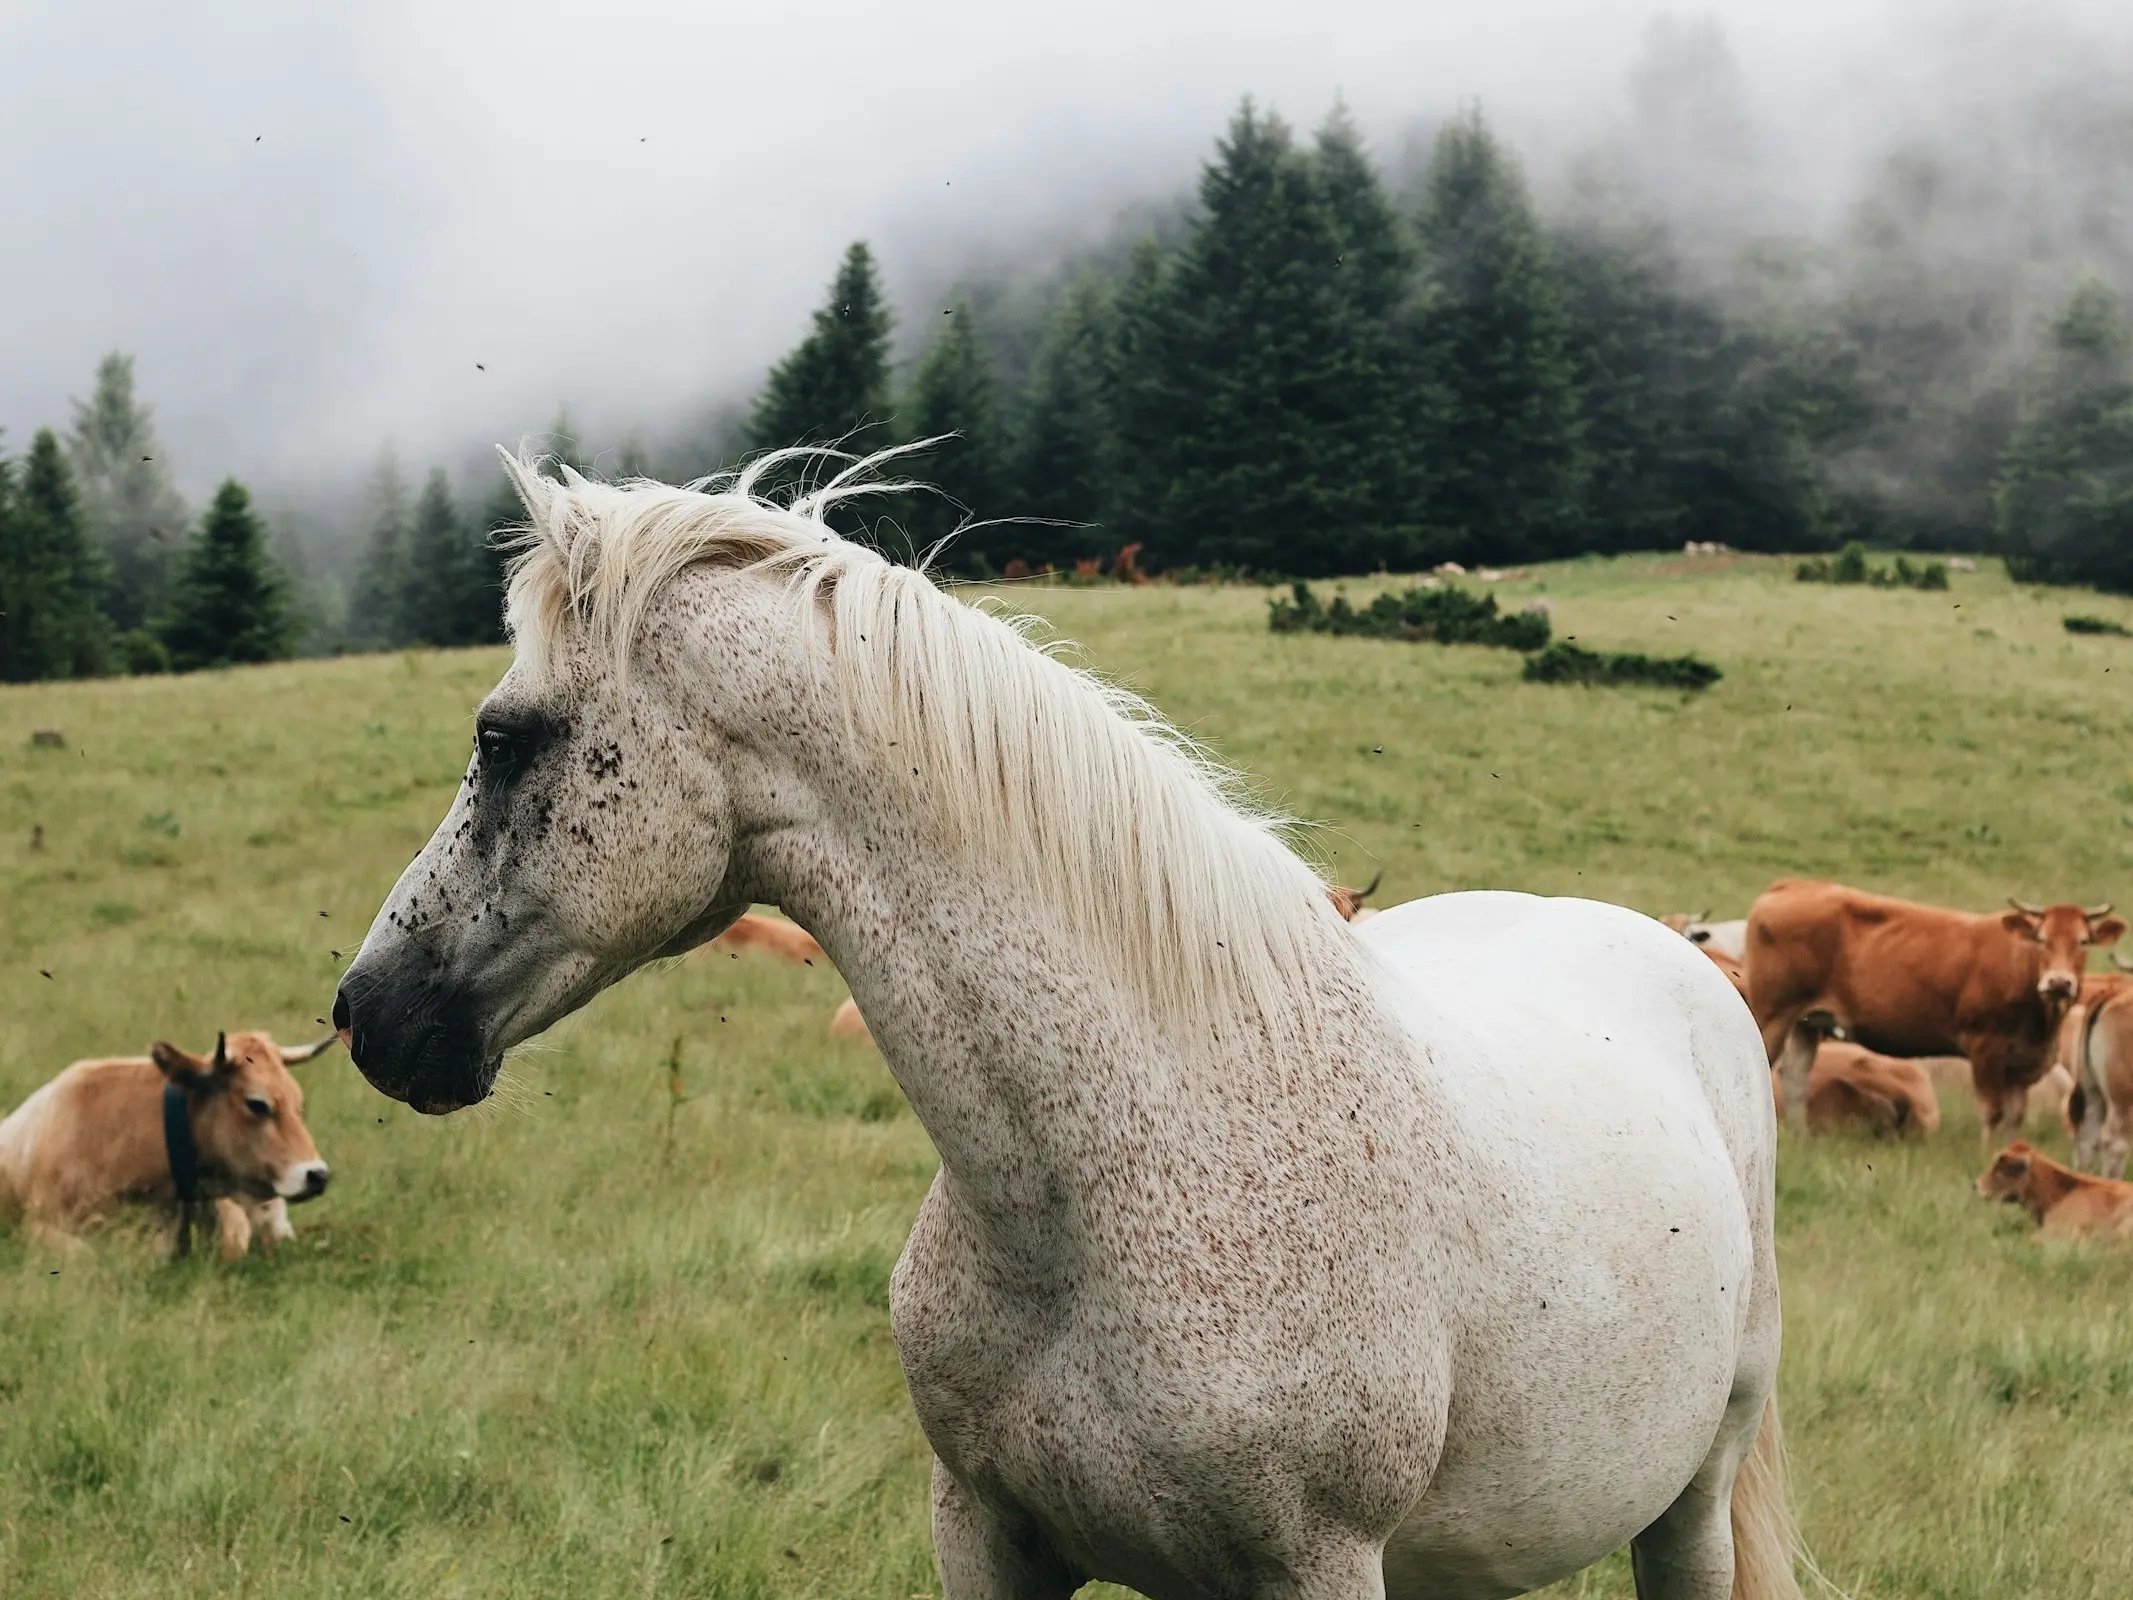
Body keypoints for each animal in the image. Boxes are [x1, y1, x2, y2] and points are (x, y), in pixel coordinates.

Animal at [332, 454, 1800, 1600]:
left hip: (1691, 1500)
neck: (1121, 1172)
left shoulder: (1319, 1563)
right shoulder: (987, 1532)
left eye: (505, 737)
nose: (367, 1013)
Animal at [1740, 883, 2124, 1143]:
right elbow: (1993, 1112)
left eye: (2083, 941)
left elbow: (2014, 1118)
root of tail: (1791, 886)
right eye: (2041, 938)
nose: (2059, 982)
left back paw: (1800, 1136)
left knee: (1795, 1079)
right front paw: (1987, 1154)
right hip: (1773, 1015)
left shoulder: (2022, 1063)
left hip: (1806, 1022)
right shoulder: (1985, 1048)